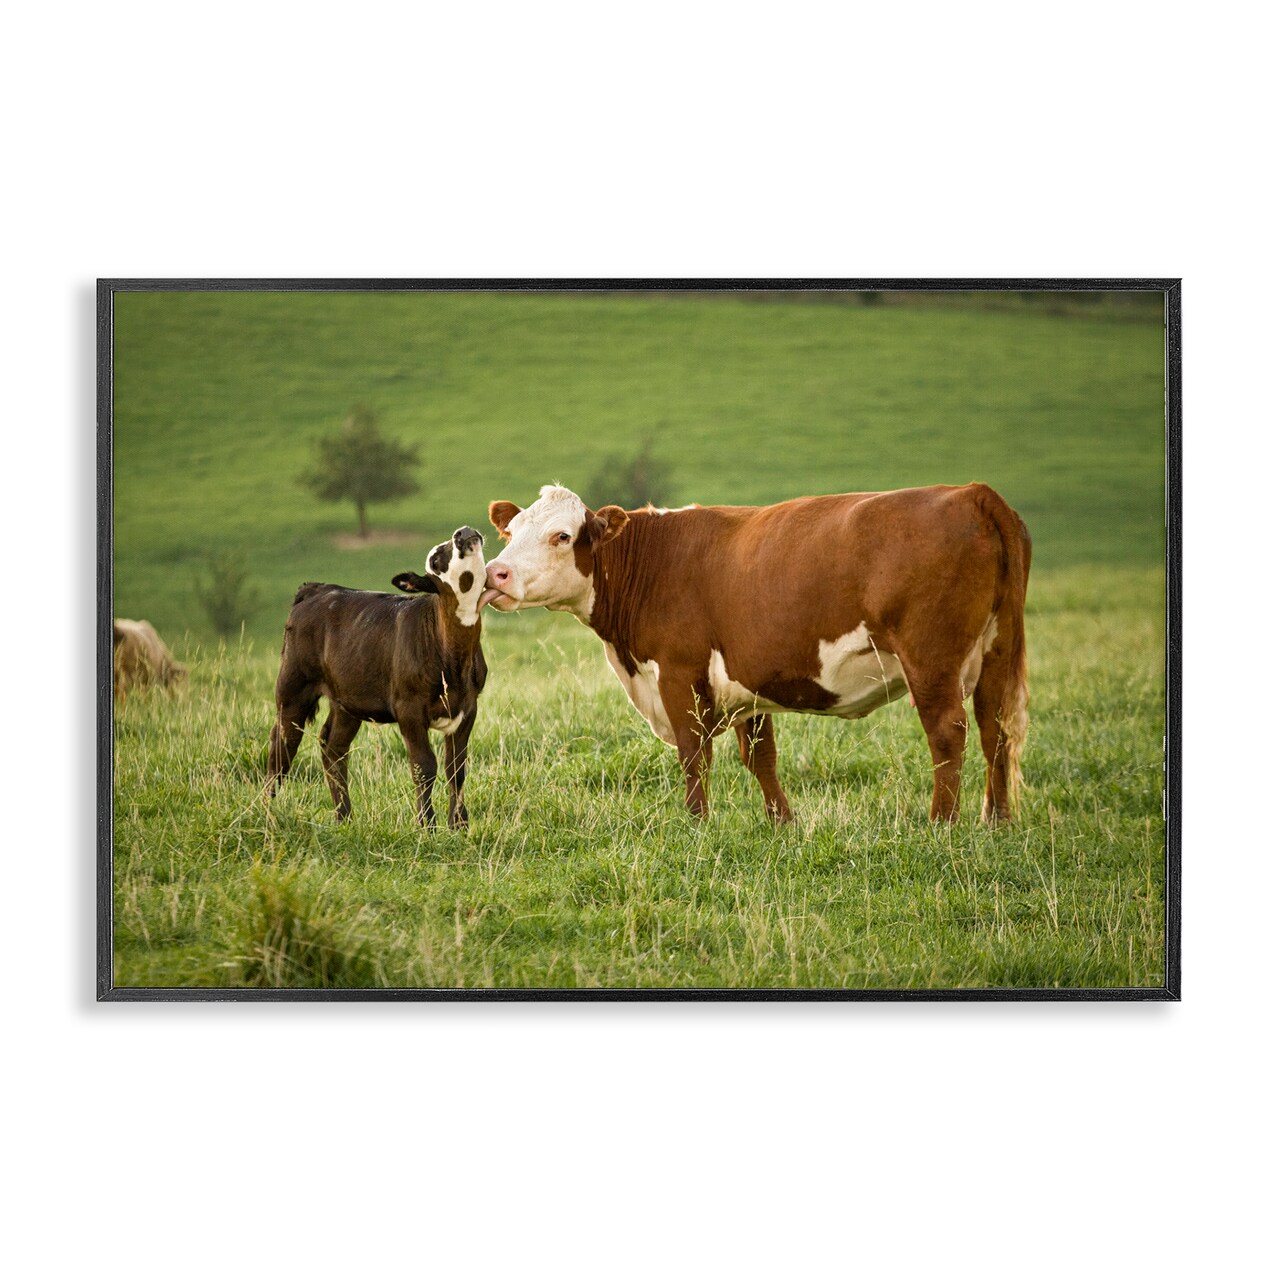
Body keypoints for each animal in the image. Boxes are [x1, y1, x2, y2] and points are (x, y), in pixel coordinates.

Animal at [266, 526, 489, 828]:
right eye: (435, 559)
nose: (463, 532)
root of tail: (318, 588)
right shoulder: (408, 708)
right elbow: (424, 765)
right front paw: (427, 825)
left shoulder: (468, 706)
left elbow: (456, 767)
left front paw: (459, 825)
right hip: (293, 687)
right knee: (281, 746)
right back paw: (267, 812)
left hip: (347, 699)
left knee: (333, 747)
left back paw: (344, 818)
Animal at [481, 484, 1029, 824]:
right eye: (511, 532)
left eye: (562, 535)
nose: (494, 574)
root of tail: (973, 493)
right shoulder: (747, 682)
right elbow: (761, 756)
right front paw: (782, 822)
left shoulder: (678, 674)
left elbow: (693, 754)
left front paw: (698, 823)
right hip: (996, 652)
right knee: (995, 728)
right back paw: (997, 821)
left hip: (930, 659)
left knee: (948, 733)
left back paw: (942, 823)